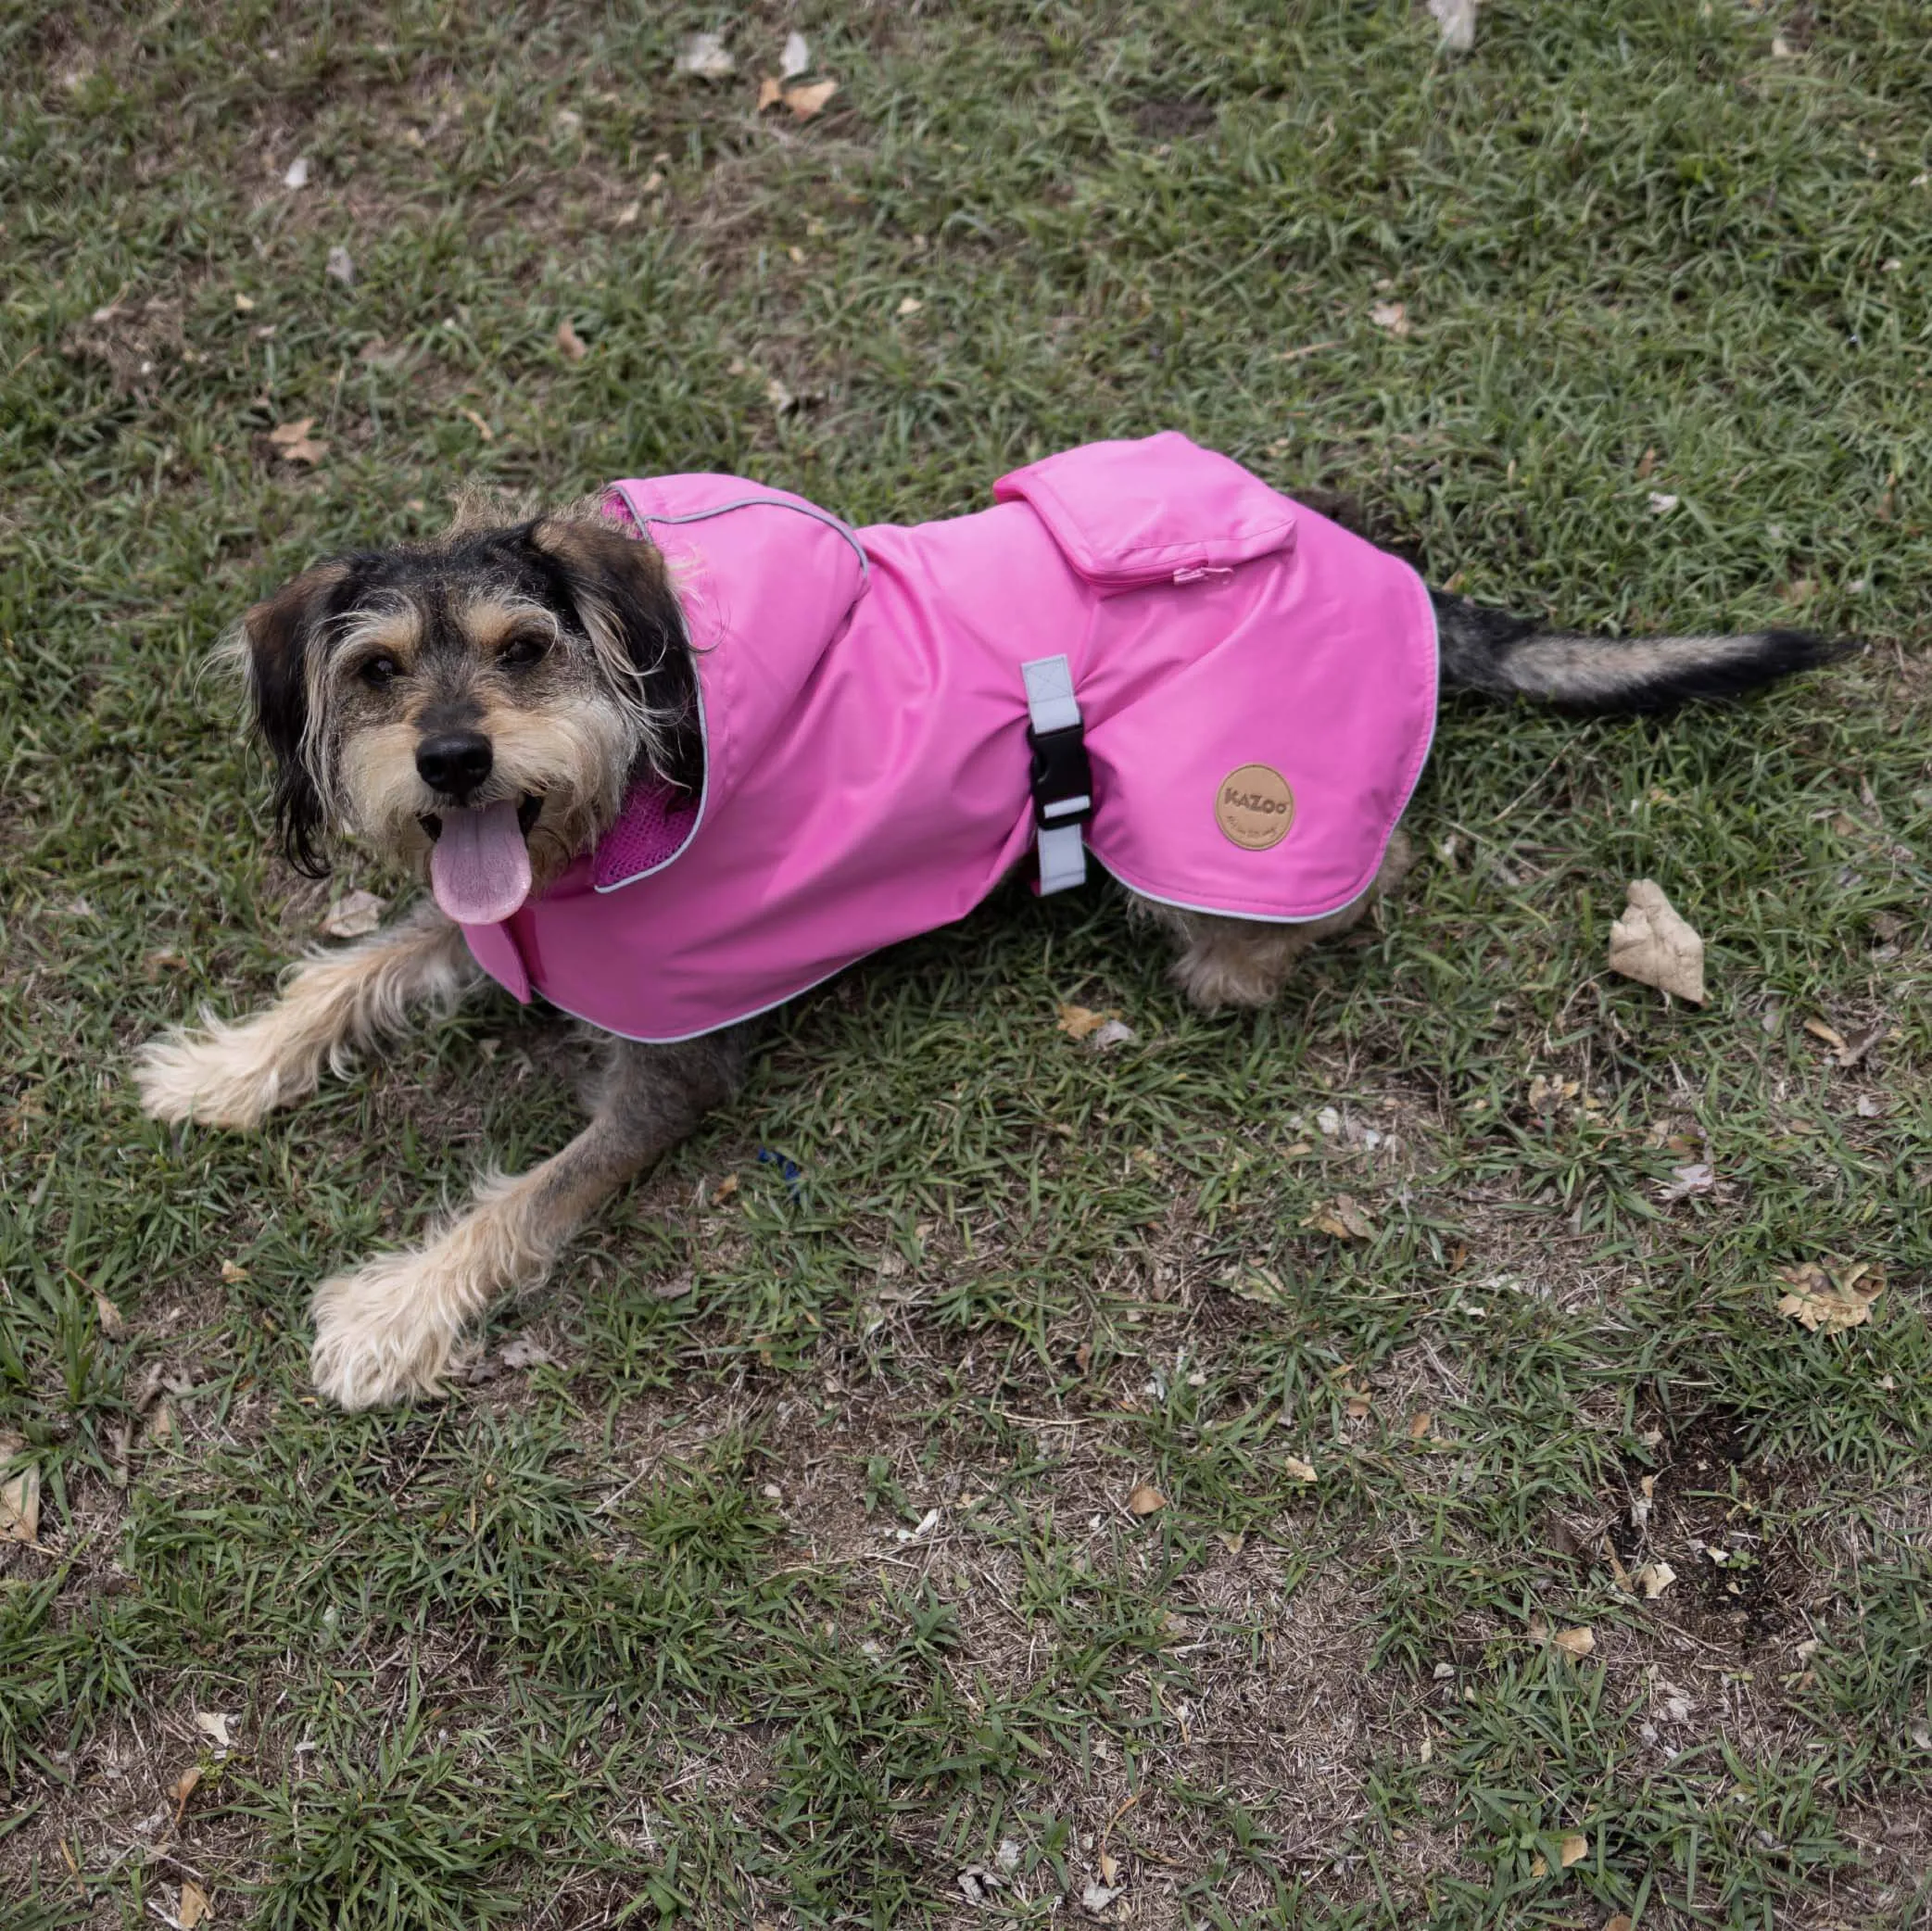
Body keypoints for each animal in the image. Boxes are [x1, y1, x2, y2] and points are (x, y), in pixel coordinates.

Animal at [132, 434, 1838, 1406]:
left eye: (524, 646)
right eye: (374, 672)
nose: (453, 760)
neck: (613, 808)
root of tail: (1399, 577)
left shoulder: (676, 1075)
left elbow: (524, 1200)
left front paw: (389, 1311)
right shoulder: (490, 912)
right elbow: (363, 959)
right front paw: (224, 1066)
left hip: (1202, 848)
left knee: (1332, 894)